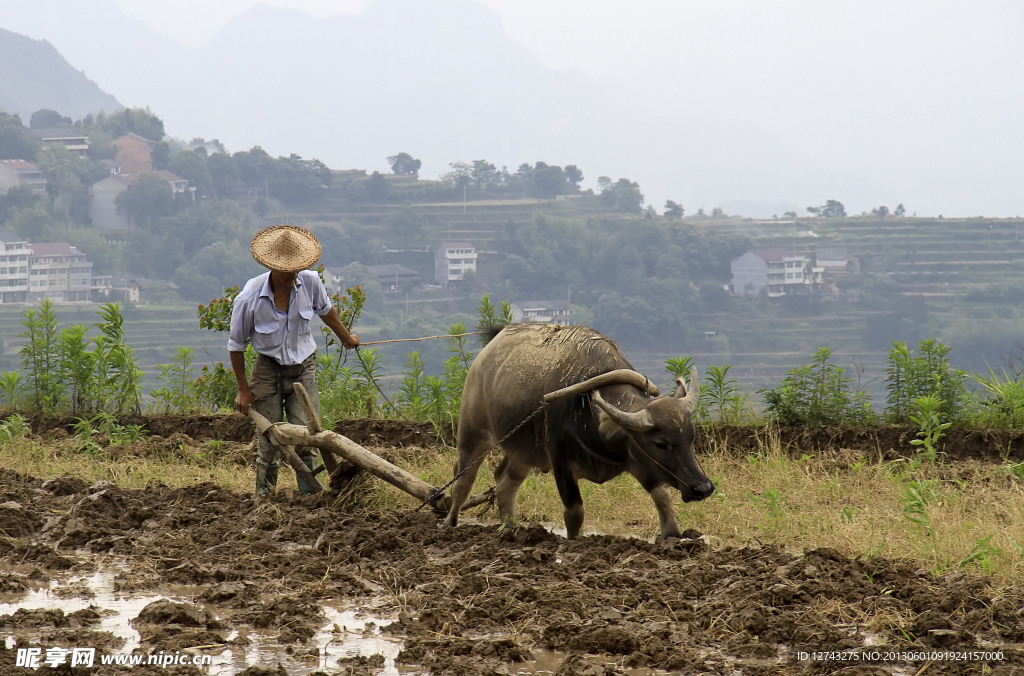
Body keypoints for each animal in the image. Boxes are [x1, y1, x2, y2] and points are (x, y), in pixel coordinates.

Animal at [444, 321, 716, 536]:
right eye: (660, 443)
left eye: (691, 438)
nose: (703, 488)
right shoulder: (561, 462)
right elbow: (575, 512)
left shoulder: (640, 461)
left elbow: (663, 498)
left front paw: (673, 537)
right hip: (473, 432)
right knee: (462, 479)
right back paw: (450, 524)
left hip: (524, 450)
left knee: (505, 482)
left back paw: (510, 527)